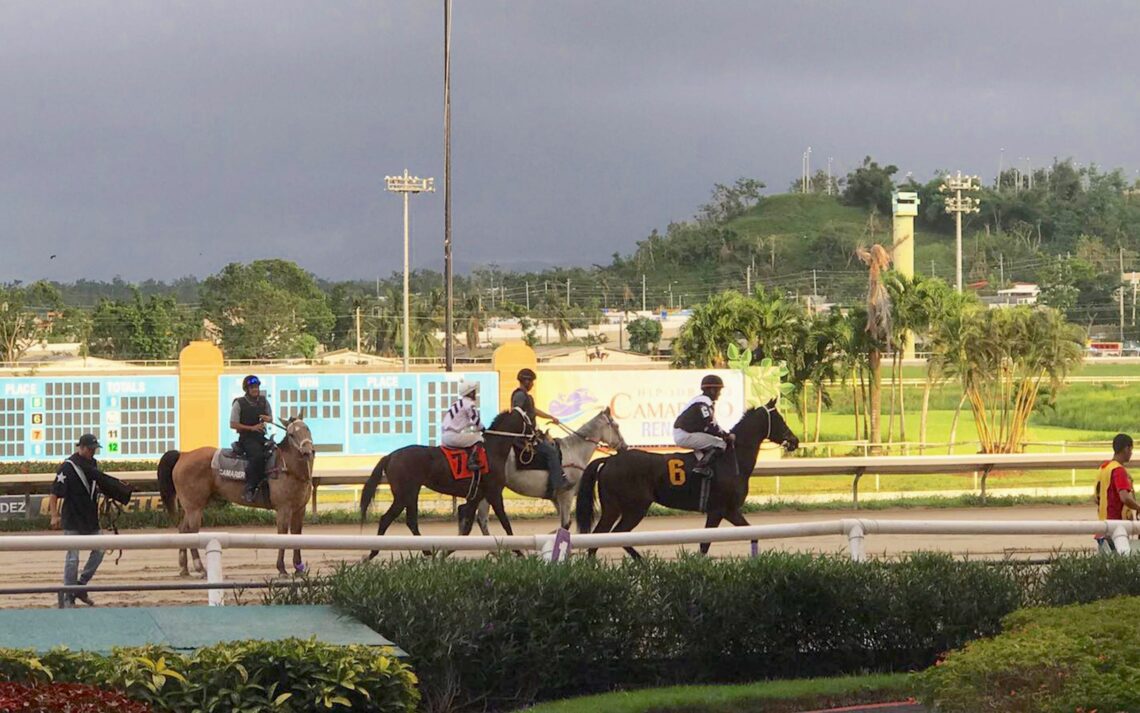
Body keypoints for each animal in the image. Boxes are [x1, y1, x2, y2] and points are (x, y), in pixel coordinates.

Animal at [360, 406, 528, 556]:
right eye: (529, 418)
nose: (534, 437)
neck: (492, 451)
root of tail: (390, 456)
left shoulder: (476, 496)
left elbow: (467, 526)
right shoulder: (494, 493)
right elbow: (505, 522)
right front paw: (518, 550)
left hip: (411, 493)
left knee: (410, 521)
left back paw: (426, 551)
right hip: (404, 494)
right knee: (387, 519)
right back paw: (374, 552)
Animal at [476, 408, 629, 531]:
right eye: (616, 426)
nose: (625, 446)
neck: (575, 451)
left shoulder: (555, 498)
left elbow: (565, 524)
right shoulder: (566, 495)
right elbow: (565, 524)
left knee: (481, 519)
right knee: (482, 519)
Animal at [574, 401, 798, 556]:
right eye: (780, 419)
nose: (794, 440)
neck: (732, 458)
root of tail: (609, 460)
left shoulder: (730, 511)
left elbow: (752, 533)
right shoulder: (720, 510)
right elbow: (705, 543)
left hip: (619, 508)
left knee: (612, 536)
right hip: (631, 508)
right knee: (603, 537)